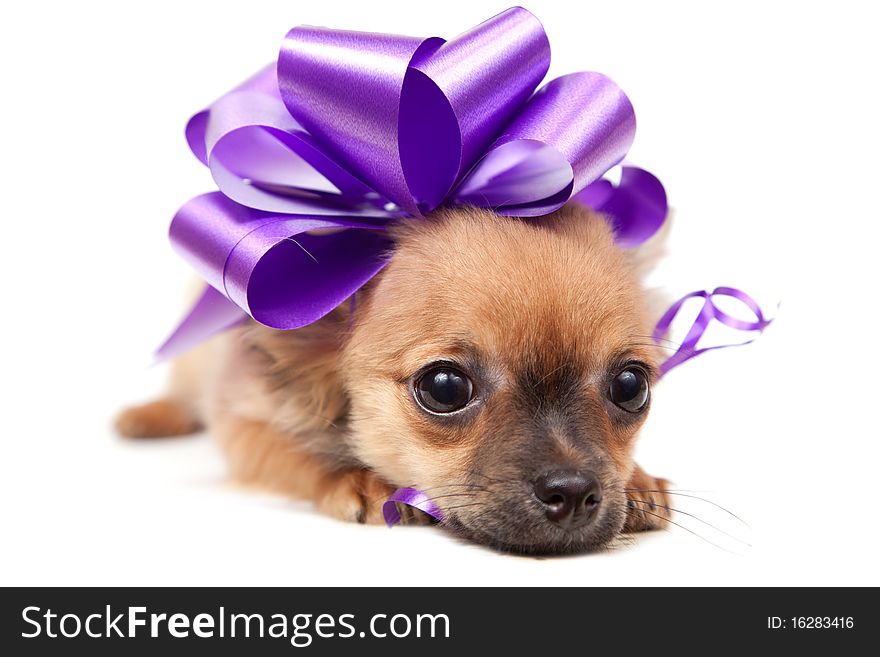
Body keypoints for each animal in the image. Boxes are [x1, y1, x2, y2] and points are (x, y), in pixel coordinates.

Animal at [115, 205, 668, 552]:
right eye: (445, 388)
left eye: (630, 387)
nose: (571, 492)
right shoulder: (242, 421)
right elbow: (291, 454)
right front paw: (355, 477)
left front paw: (639, 481)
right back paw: (149, 416)